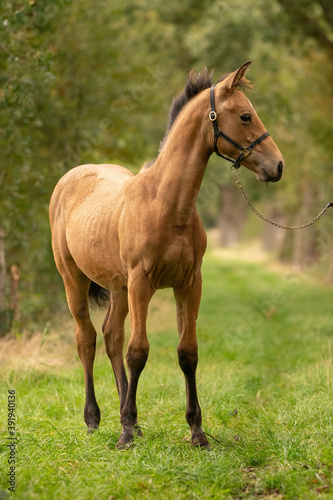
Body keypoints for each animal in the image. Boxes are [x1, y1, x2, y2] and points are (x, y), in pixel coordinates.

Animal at [49, 60, 282, 448]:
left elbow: (187, 352)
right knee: (88, 340)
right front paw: (126, 433)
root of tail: (70, 177)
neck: (167, 205)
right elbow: (138, 351)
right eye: (246, 116)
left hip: (118, 287)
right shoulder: (142, 282)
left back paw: (129, 418)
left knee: (111, 336)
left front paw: (196, 431)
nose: (277, 166)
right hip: (75, 280)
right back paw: (94, 419)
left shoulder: (188, 284)